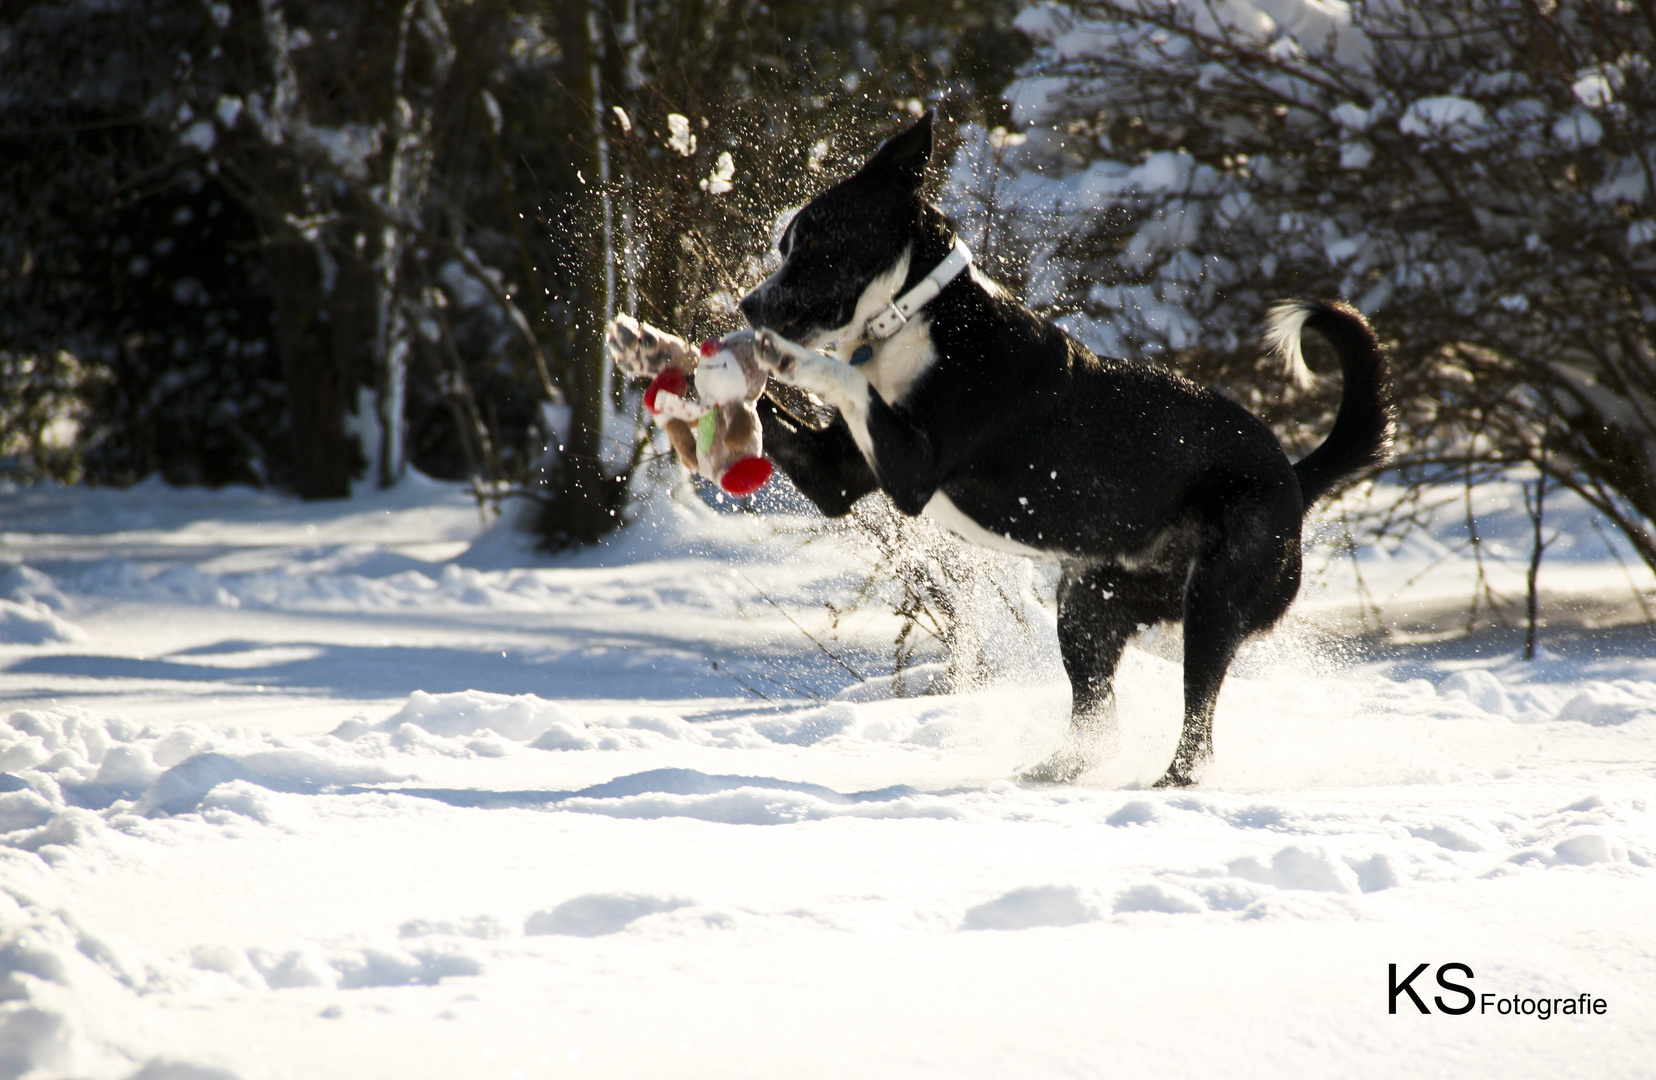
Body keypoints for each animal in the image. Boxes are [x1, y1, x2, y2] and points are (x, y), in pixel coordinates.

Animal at [745, 114, 1391, 788]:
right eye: (785, 246)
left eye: (816, 243)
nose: (748, 306)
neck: (915, 316)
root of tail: (1292, 475)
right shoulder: (835, 476)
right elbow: (794, 423)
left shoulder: (913, 468)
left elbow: (845, 378)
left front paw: (785, 357)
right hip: (1088, 605)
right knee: (1099, 714)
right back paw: (1056, 770)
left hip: (1213, 598)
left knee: (1198, 720)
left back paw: (1169, 783)